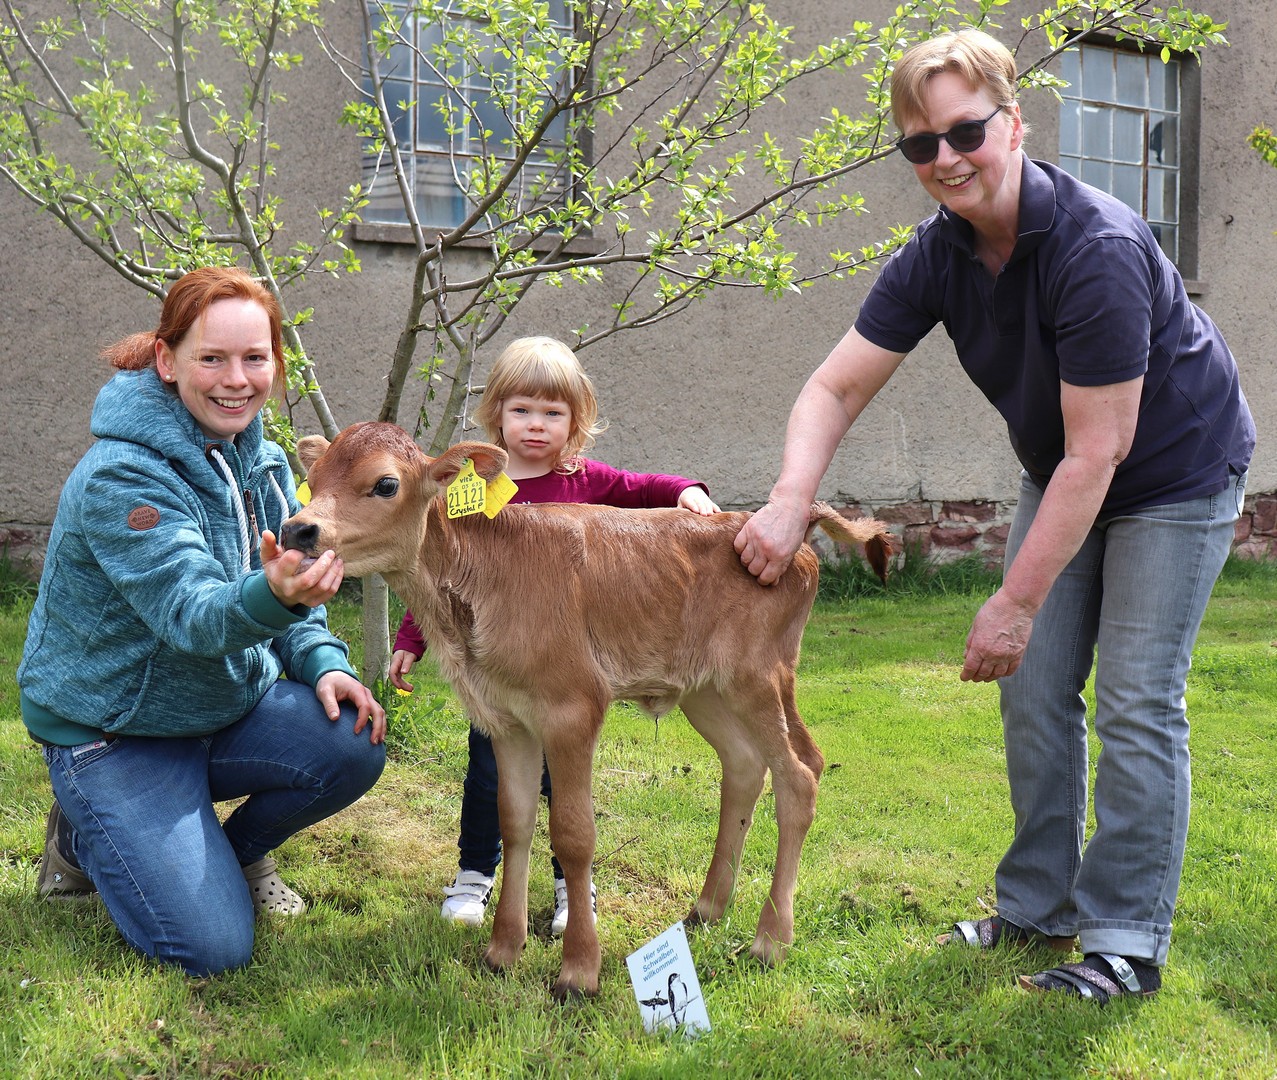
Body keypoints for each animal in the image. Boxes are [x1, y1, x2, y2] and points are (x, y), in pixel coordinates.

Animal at [284, 426, 893, 1000]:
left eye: (386, 484)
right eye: (313, 477)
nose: (297, 530)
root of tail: (787, 533)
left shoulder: (572, 709)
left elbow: (574, 834)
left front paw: (578, 970)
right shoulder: (507, 719)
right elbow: (515, 822)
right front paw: (502, 951)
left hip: (757, 678)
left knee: (800, 775)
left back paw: (769, 940)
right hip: (708, 689)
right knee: (747, 766)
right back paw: (706, 910)